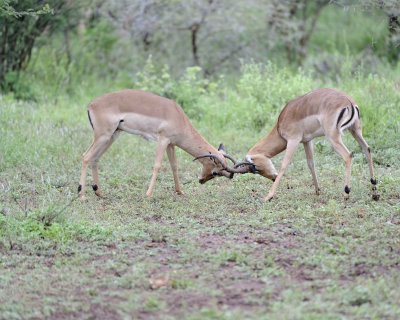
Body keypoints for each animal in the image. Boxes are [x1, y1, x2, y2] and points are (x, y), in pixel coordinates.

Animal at [77, 89, 236, 198]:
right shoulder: (163, 140)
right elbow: (157, 165)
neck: (178, 116)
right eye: (215, 172)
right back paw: (82, 195)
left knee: (95, 158)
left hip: (111, 136)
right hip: (103, 136)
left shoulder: (171, 144)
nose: (201, 180)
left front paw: (180, 191)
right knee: (86, 156)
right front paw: (148, 194)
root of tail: (91, 105)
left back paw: (99, 193)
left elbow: (174, 166)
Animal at [230, 87, 380, 201]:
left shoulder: (293, 140)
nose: (273, 178)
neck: (280, 125)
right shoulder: (307, 141)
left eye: (255, 167)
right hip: (355, 130)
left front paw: (269, 196)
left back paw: (346, 193)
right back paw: (374, 191)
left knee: (348, 156)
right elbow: (310, 163)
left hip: (333, 137)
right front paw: (317, 190)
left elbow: (284, 165)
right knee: (367, 149)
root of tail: (348, 102)